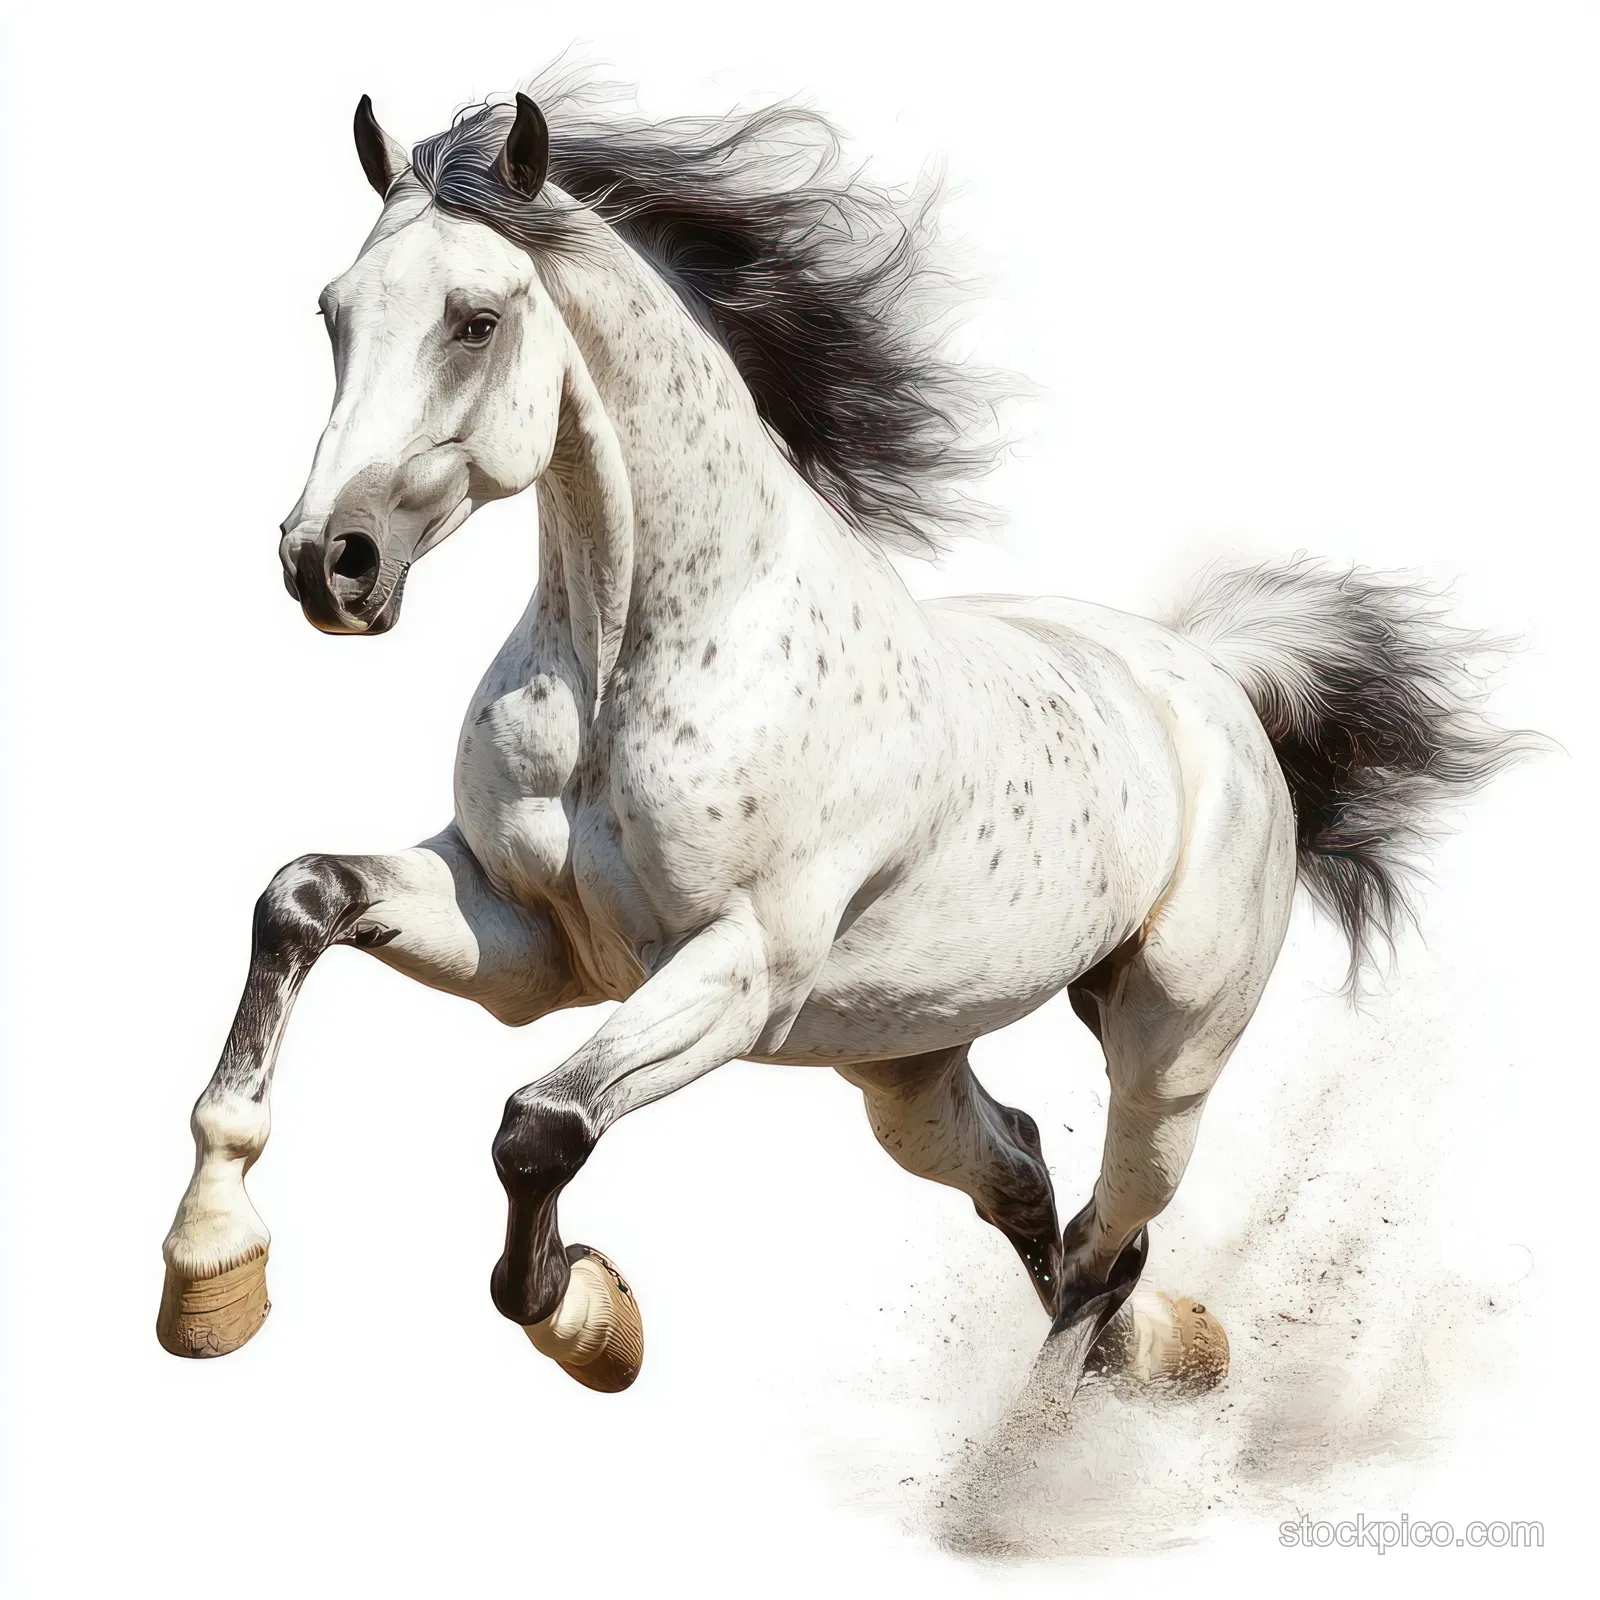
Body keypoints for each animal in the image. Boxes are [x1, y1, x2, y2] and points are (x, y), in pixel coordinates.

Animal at [157, 74, 1532, 1405]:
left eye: (475, 319)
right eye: (333, 313)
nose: (327, 563)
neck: (633, 656)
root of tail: (1215, 679)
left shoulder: (738, 970)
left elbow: (537, 1123)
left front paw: (590, 1320)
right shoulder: (525, 941)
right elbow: (302, 898)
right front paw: (211, 1271)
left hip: (1167, 1053)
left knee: (1108, 1237)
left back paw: (1032, 1450)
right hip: (901, 1064)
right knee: (1029, 1176)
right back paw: (1163, 1358)